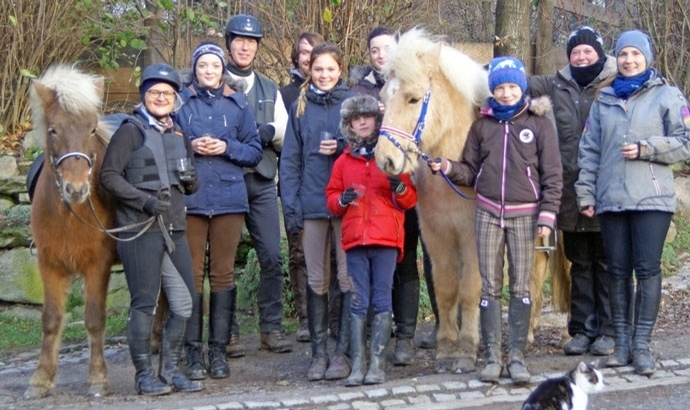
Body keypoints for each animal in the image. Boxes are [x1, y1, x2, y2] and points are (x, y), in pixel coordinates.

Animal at [25, 64, 117, 398]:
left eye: (91, 129)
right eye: (53, 130)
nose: (75, 189)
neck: (70, 214)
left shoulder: (98, 265)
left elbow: (93, 317)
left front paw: (98, 377)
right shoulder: (49, 264)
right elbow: (51, 319)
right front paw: (40, 378)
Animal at [374, 28, 568, 374]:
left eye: (413, 98)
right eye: (384, 97)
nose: (386, 160)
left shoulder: (473, 238)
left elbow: (469, 289)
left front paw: (465, 349)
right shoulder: (437, 238)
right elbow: (446, 288)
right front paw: (447, 347)